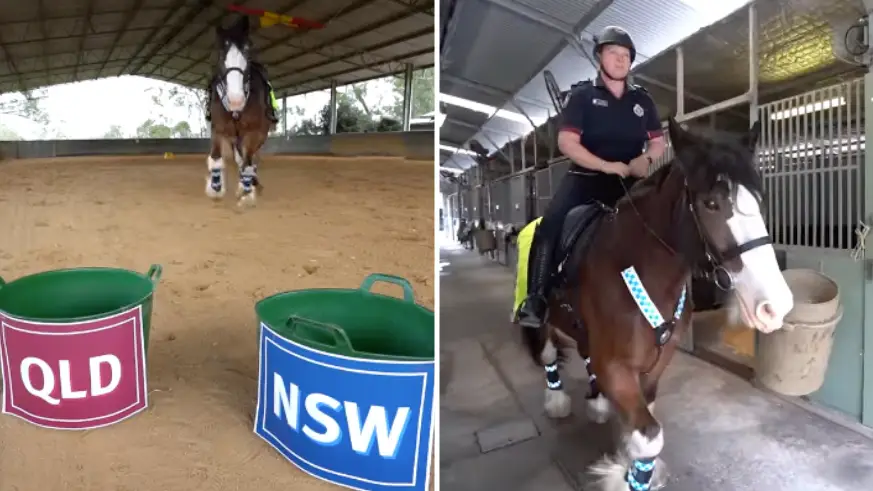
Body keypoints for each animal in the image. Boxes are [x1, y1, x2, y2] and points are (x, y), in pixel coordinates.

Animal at [205, 14, 279, 207]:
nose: (235, 100)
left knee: (250, 159)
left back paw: (252, 184)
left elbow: (248, 162)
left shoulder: (255, 133)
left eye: (246, 51)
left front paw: (246, 193)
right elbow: (216, 158)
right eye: (221, 54)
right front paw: (215, 188)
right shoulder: (219, 129)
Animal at [519, 117, 795, 491]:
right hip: (545, 321)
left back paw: (598, 402)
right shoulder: (617, 366)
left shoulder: (655, 364)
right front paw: (626, 478)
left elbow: (642, 427)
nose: (775, 305)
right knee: (549, 355)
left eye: (758, 199)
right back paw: (557, 402)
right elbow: (649, 436)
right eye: (710, 204)